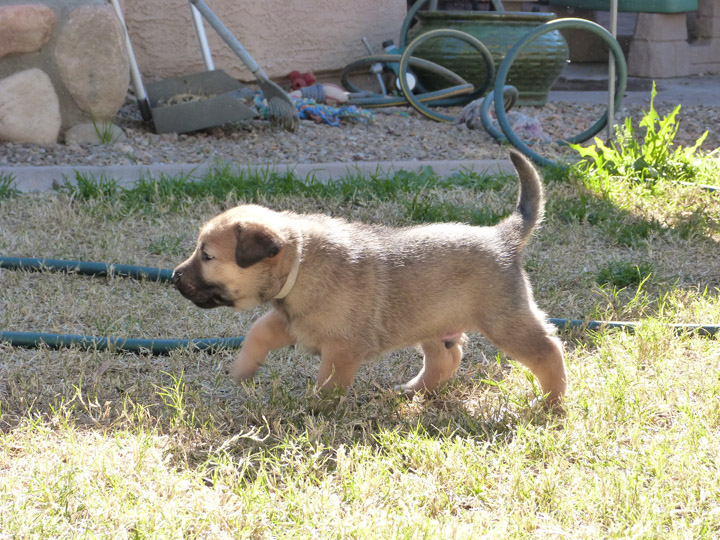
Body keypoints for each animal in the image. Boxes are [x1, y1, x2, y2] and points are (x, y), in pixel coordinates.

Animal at [174, 151, 568, 404]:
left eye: (207, 256)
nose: (175, 277)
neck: (300, 261)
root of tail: (503, 237)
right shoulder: (293, 321)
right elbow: (258, 331)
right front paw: (244, 369)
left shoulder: (341, 348)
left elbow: (329, 383)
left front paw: (314, 409)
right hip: (432, 322)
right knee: (446, 359)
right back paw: (413, 391)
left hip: (505, 321)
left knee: (549, 349)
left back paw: (551, 401)